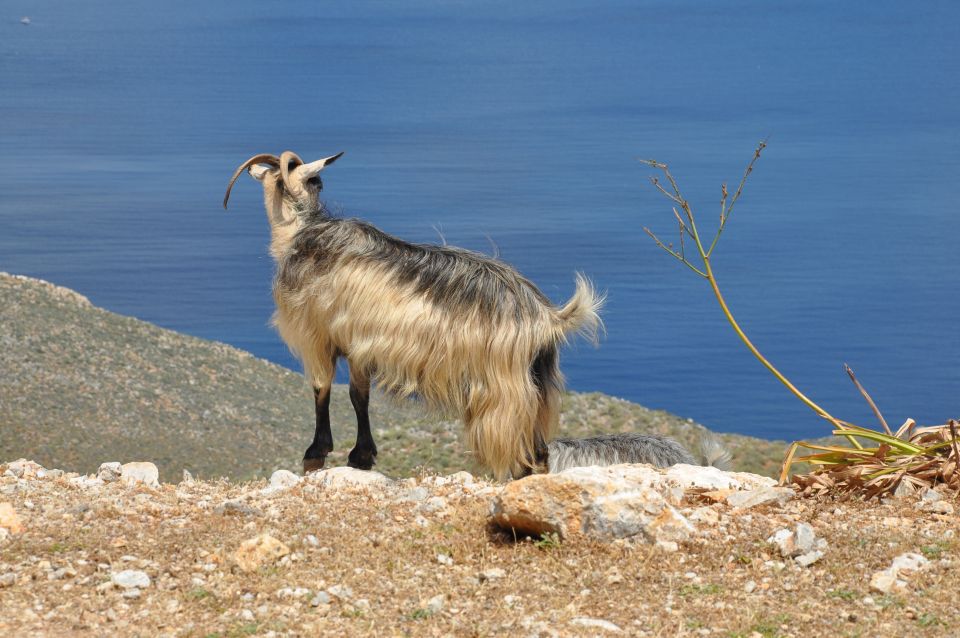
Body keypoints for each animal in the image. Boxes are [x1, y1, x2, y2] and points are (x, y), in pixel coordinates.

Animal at [221, 150, 604, 480]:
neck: (303, 231)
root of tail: (547, 316)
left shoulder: (316, 335)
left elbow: (323, 389)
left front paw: (316, 454)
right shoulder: (359, 345)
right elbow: (359, 395)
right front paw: (361, 456)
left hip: (503, 392)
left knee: (517, 452)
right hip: (539, 386)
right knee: (539, 452)